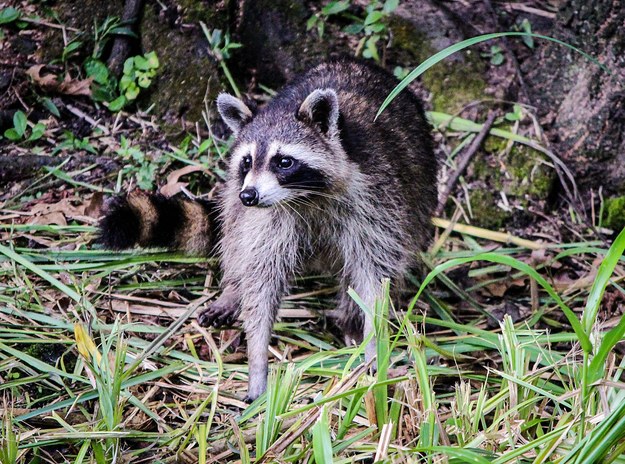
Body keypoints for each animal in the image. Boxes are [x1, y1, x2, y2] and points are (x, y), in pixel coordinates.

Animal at [98, 59, 438, 402]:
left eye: (284, 162)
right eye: (247, 161)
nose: (249, 195)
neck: (305, 197)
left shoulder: (375, 199)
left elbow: (375, 274)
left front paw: (373, 342)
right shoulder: (268, 218)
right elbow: (261, 276)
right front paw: (257, 357)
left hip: (419, 194)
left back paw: (349, 316)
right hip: (237, 200)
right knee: (234, 232)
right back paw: (234, 288)